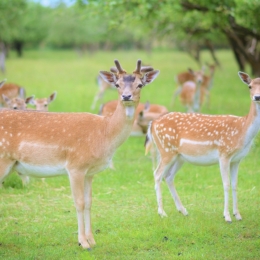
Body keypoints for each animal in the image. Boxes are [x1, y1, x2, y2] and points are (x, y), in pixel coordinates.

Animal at [0, 60, 159, 249]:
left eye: (140, 84)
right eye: (117, 84)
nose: (126, 96)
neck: (104, 134)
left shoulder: (90, 172)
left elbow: (89, 202)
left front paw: (92, 240)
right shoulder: (75, 166)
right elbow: (79, 202)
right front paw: (83, 242)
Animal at [144, 72, 260, 222]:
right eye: (249, 86)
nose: (257, 97)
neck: (243, 131)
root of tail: (152, 123)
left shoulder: (237, 159)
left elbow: (235, 185)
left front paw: (238, 215)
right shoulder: (224, 154)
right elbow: (226, 184)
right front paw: (227, 216)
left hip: (179, 156)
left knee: (168, 176)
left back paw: (183, 211)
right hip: (166, 151)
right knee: (157, 174)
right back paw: (162, 212)